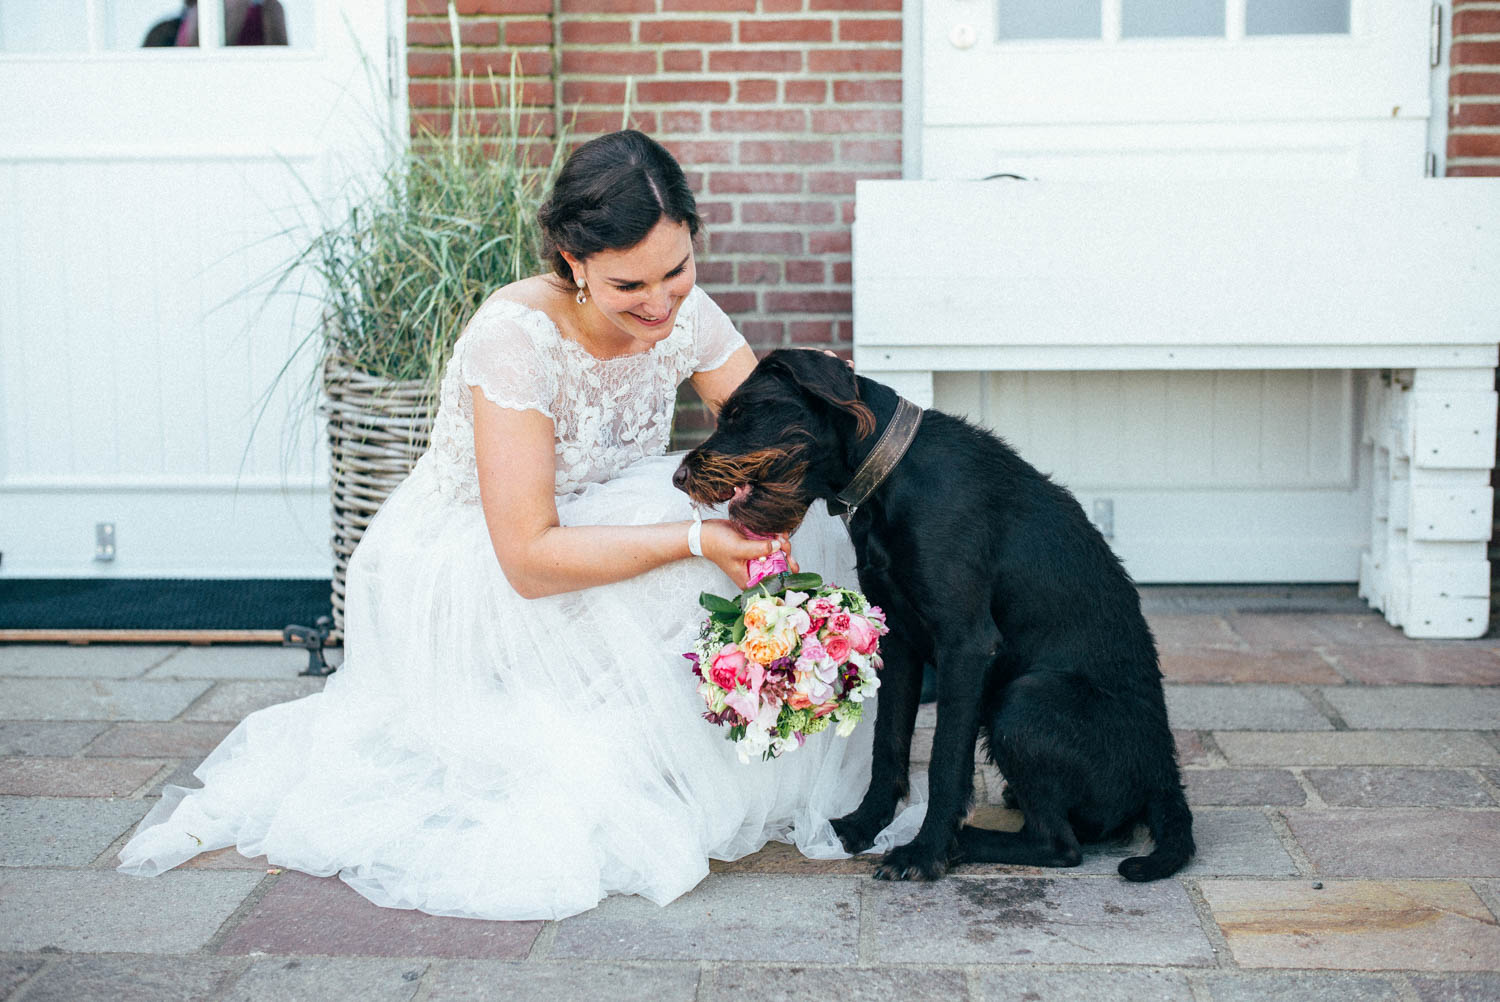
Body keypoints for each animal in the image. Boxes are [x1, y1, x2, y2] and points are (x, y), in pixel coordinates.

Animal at [675, 348, 1188, 882]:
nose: (679, 477)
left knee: (1060, 845)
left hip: (1026, 700)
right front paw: (863, 825)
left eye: (742, 413)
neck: (892, 476)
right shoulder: (898, 639)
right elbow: (887, 743)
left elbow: (946, 760)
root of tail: (1163, 779)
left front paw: (925, 850)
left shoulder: (966, 645)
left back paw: (963, 841)